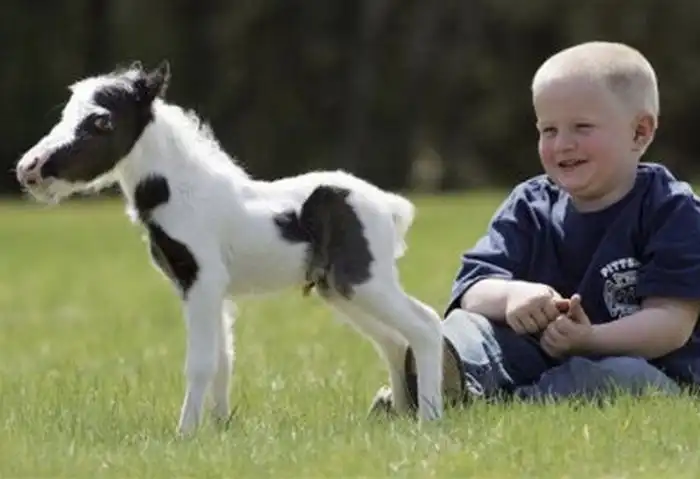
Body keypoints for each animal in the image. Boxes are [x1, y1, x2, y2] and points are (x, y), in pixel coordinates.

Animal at [15, 61, 442, 436]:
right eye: (65, 113)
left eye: (102, 121)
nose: (29, 169)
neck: (183, 193)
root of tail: (389, 205)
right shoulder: (209, 290)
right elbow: (223, 361)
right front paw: (219, 428)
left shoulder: (202, 282)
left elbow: (201, 362)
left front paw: (185, 434)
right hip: (338, 289)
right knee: (392, 341)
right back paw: (403, 414)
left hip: (365, 281)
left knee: (425, 325)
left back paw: (429, 420)